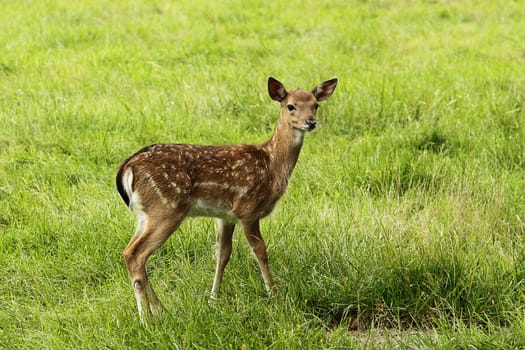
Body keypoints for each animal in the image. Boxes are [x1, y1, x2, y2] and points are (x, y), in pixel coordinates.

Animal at [115, 75, 336, 322]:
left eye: (315, 105)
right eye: (290, 106)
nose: (311, 122)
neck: (271, 165)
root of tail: (128, 167)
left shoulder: (225, 216)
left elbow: (222, 254)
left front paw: (213, 300)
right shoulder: (248, 208)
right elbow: (261, 252)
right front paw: (274, 295)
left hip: (146, 213)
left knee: (132, 253)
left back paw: (161, 309)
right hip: (166, 208)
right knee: (136, 254)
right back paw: (147, 320)